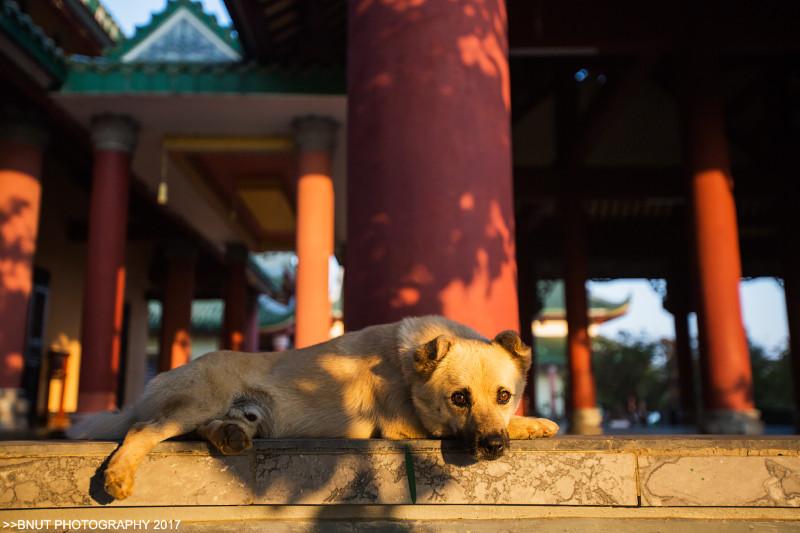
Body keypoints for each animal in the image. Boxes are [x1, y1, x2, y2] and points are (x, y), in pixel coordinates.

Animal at [67, 314, 556, 496]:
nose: (493, 446)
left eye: (504, 396)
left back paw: (230, 435)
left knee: (213, 427)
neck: (407, 366)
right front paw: (529, 424)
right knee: (143, 430)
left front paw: (531, 422)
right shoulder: (407, 428)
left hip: (242, 414)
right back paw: (118, 475)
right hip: (198, 400)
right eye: (459, 399)